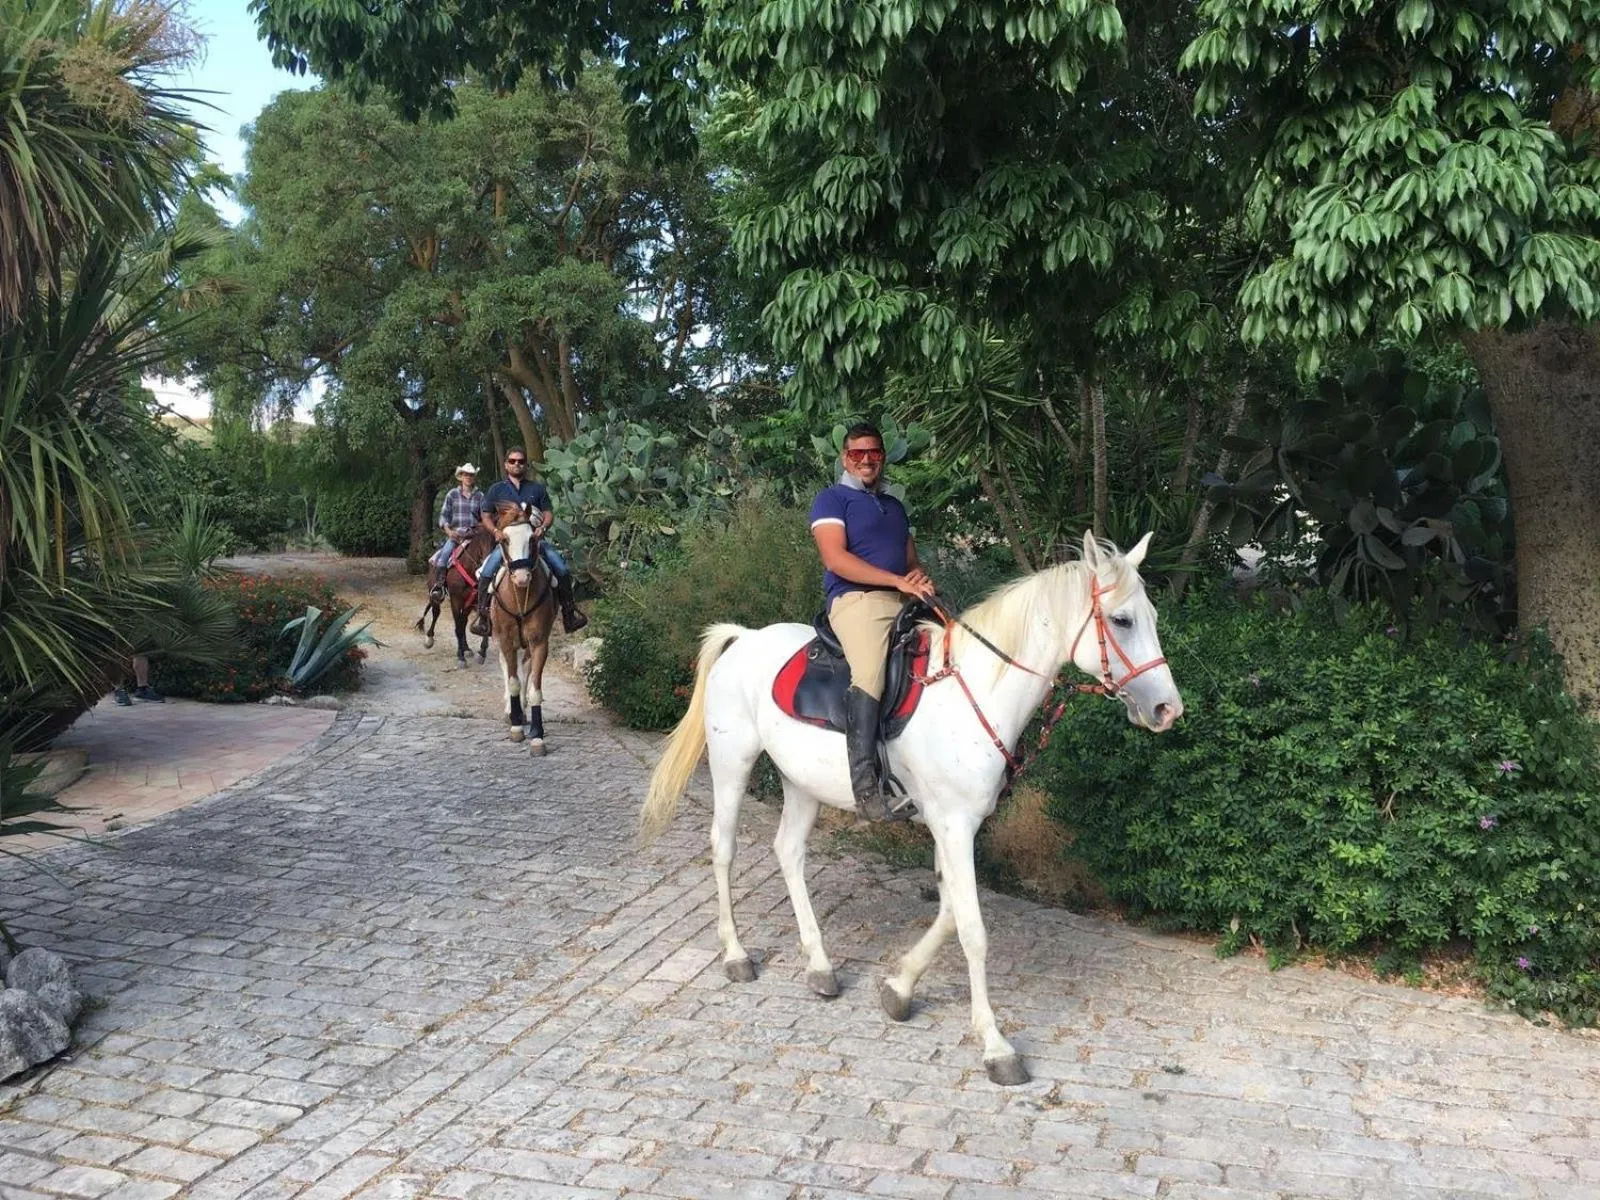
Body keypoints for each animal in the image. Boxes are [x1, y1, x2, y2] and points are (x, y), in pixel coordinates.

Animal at [415, 527, 495, 667]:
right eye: (481, 540)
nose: (488, 569)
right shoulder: (456, 600)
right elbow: (458, 627)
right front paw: (460, 657)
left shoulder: (479, 601)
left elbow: (476, 625)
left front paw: (480, 652)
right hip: (434, 595)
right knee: (436, 613)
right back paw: (429, 638)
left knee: (463, 621)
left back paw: (466, 647)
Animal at [489, 503, 559, 754]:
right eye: (505, 540)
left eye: (532, 539)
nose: (521, 577)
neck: (519, 595)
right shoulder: (506, 640)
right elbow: (513, 681)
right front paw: (516, 724)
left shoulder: (539, 642)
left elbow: (535, 688)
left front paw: (537, 736)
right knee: (506, 667)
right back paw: (512, 710)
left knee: (526, 668)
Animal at [640, 532, 1183, 1086]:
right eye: (1122, 620)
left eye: (1153, 616)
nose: (1168, 709)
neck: (977, 693)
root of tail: (744, 638)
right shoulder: (955, 826)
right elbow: (972, 929)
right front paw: (996, 1046)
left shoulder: (954, 828)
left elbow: (948, 913)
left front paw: (898, 989)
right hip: (732, 762)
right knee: (723, 849)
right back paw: (736, 955)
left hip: (802, 782)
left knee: (788, 851)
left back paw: (819, 965)